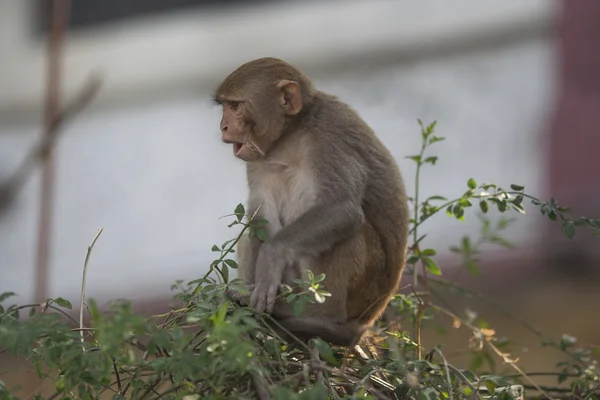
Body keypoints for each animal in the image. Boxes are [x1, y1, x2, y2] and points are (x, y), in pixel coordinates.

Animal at [214, 57, 408, 346]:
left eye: (235, 106)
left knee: (347, 233)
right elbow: (260, 214)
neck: (291, 136)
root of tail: (367, 321)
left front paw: (270, 257)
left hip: (362, 293)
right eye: (225, 106)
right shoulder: (259, 160)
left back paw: (319, 319)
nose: (223, 127)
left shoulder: (328, 139)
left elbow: (341, 209)